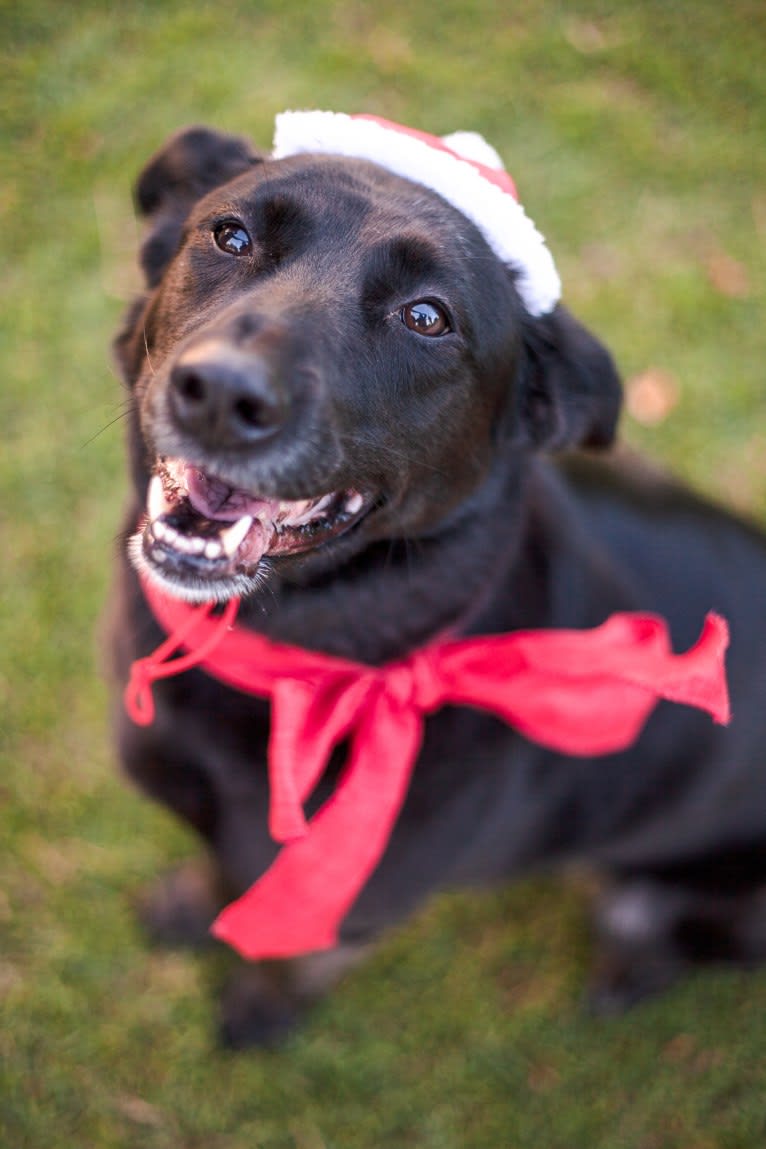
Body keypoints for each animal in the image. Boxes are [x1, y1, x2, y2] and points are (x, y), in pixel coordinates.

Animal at [109, 118, 766, 1052]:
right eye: (229, 235)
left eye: (427, 316)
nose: (222, 394)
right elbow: (216, 874)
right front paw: (186, 909)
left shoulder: (349, 906)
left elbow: (285, 954)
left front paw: (258, 1014)